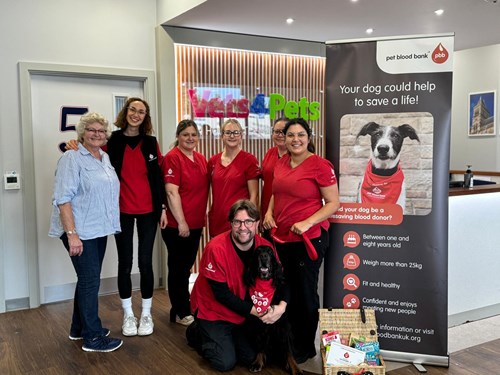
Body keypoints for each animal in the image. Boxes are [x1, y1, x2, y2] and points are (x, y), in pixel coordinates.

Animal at [244, 247, 302, 375]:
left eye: (270, 252)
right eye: (257, 252)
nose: (264, 256)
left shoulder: (283, 325)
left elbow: (288, 350)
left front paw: (295, 368)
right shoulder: (258, 324)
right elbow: (260, 345)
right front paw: (257, 362)